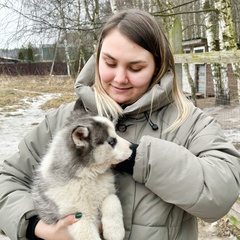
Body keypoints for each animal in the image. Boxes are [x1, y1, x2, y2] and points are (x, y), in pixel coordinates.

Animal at [31, 103, 133, 240]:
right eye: (111, 141)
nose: (132, 146)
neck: (88, 176)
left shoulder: (107, 192)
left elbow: (112, 199)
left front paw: (114, 231)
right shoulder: (77, 217)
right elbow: (88, 234)